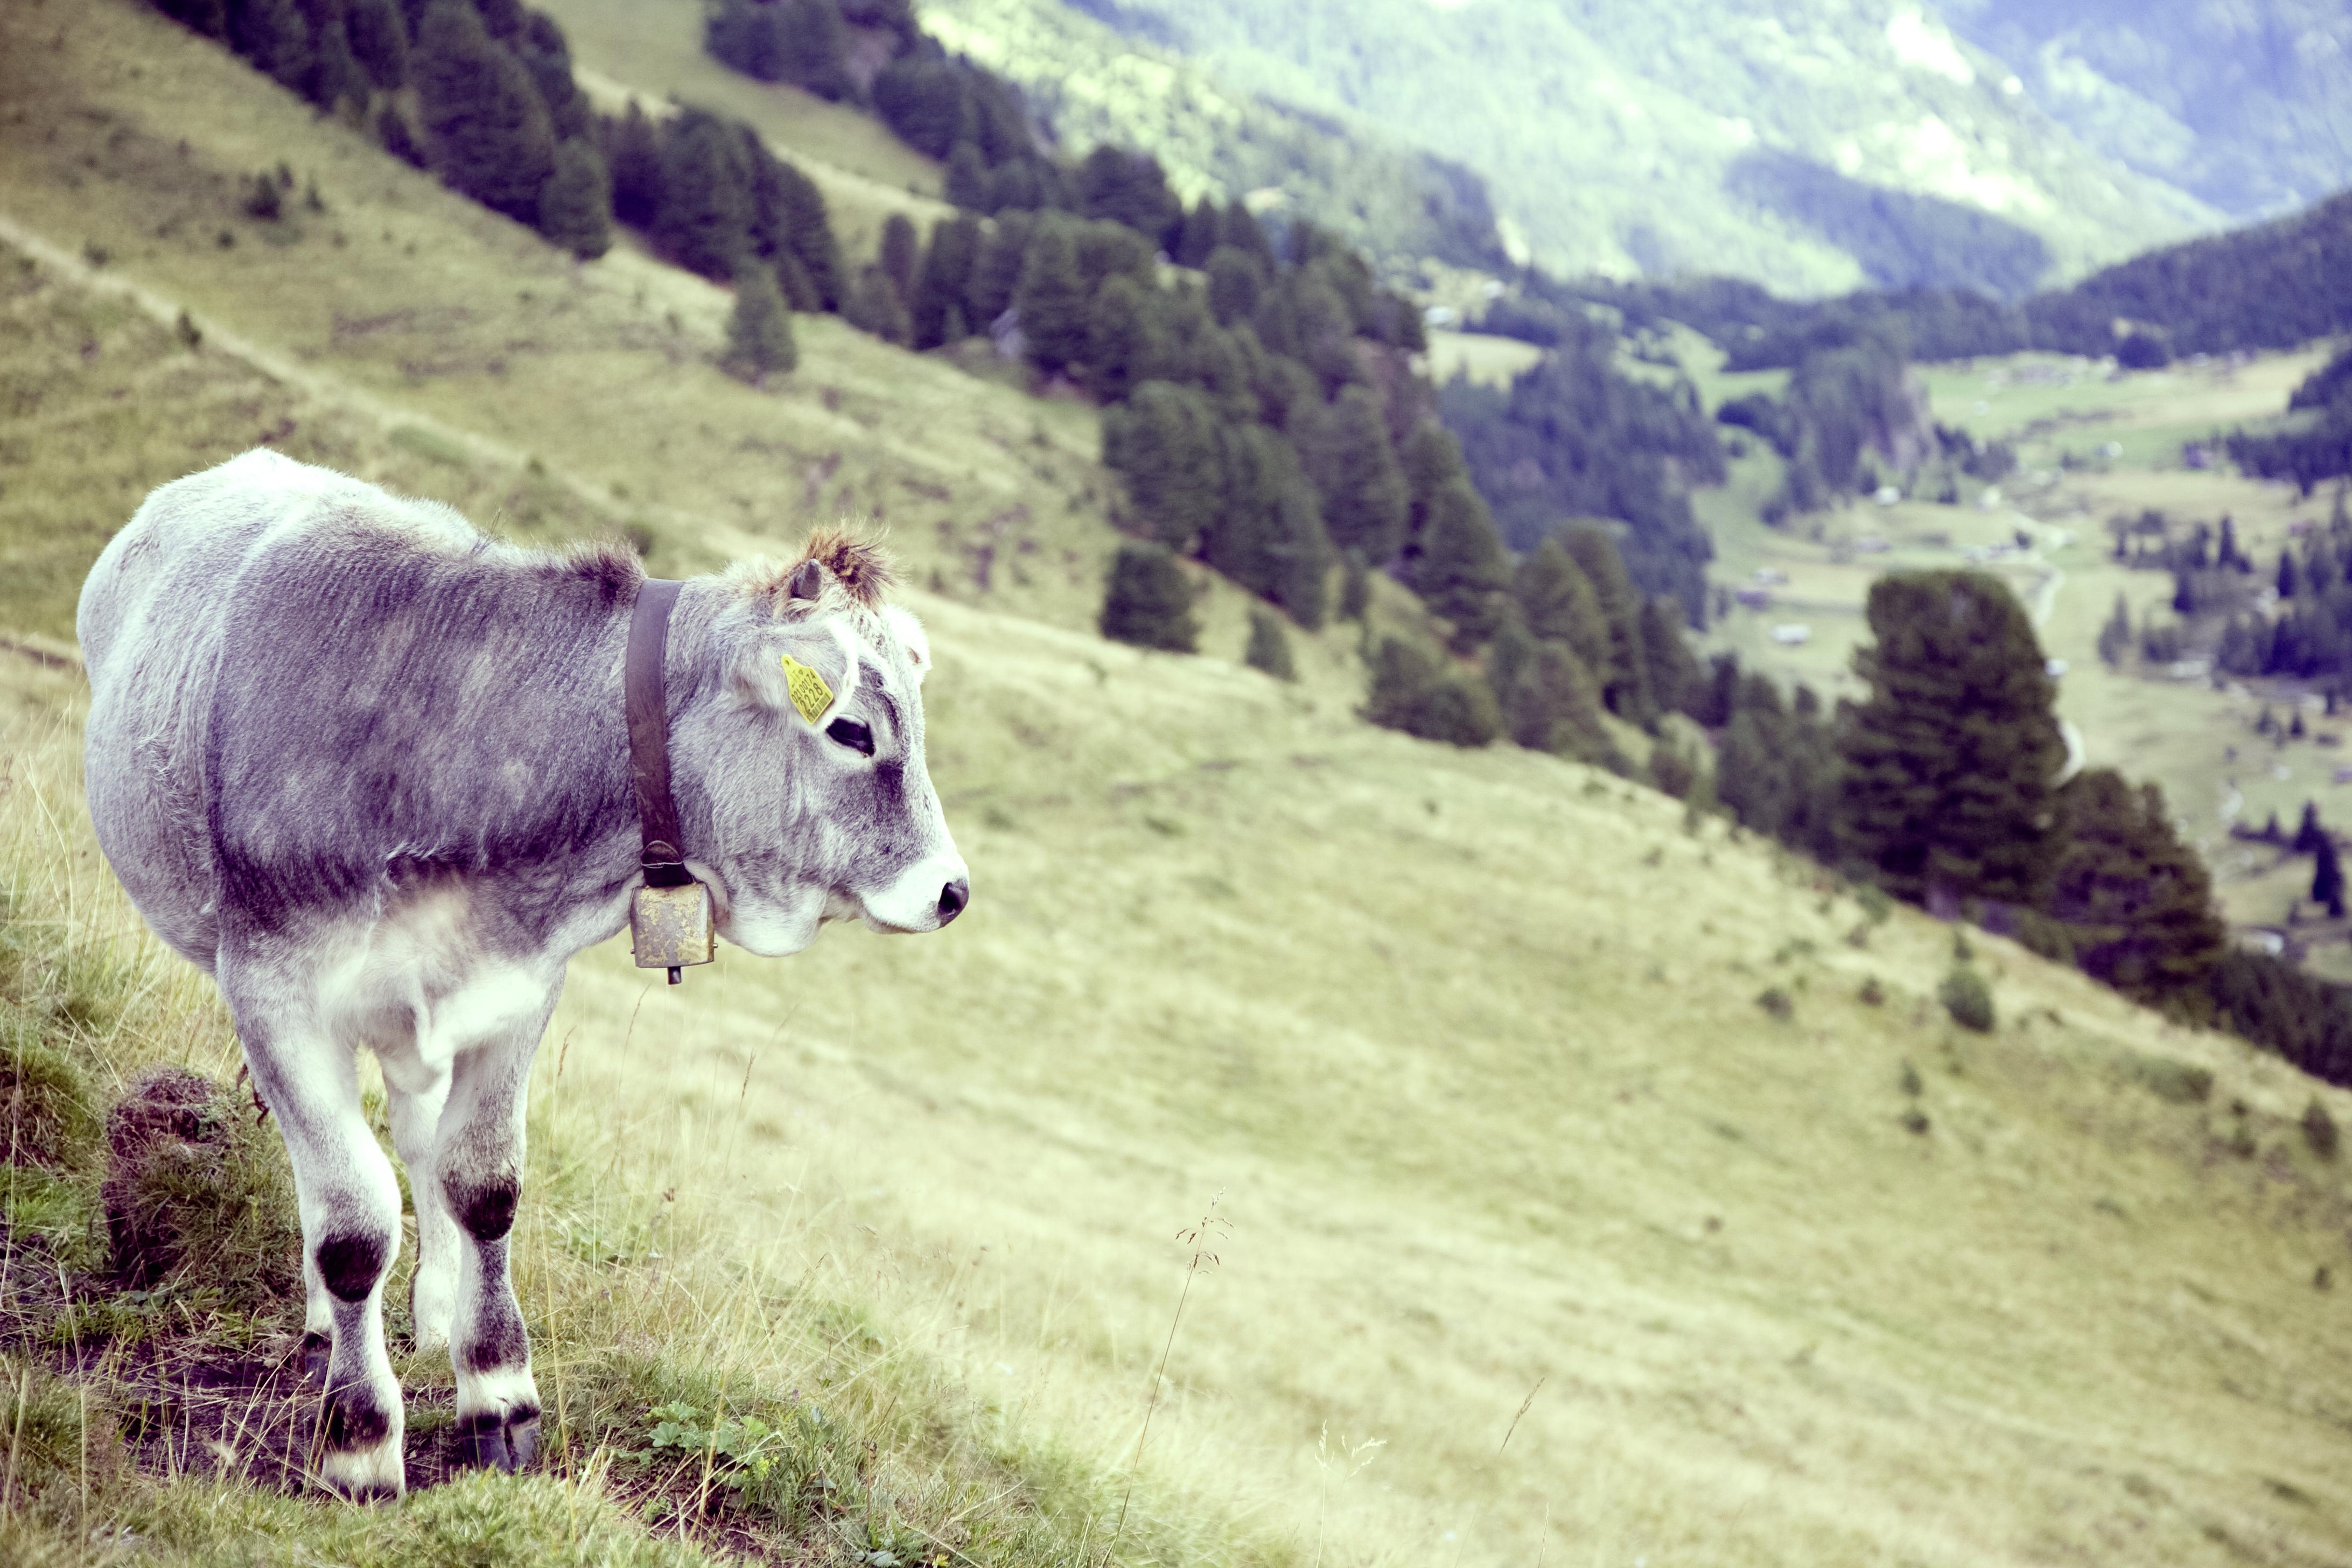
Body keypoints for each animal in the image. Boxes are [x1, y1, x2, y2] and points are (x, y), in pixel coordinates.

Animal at [78, 451, 969, 1495]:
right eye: (852, 731)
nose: (951, 890)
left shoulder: (515, 991)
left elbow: (482, 1183)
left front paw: (497, 1390)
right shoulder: (273, 990)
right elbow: (351, 1225)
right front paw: (359, 1439)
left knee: (415, 1139)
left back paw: (432, 1307)